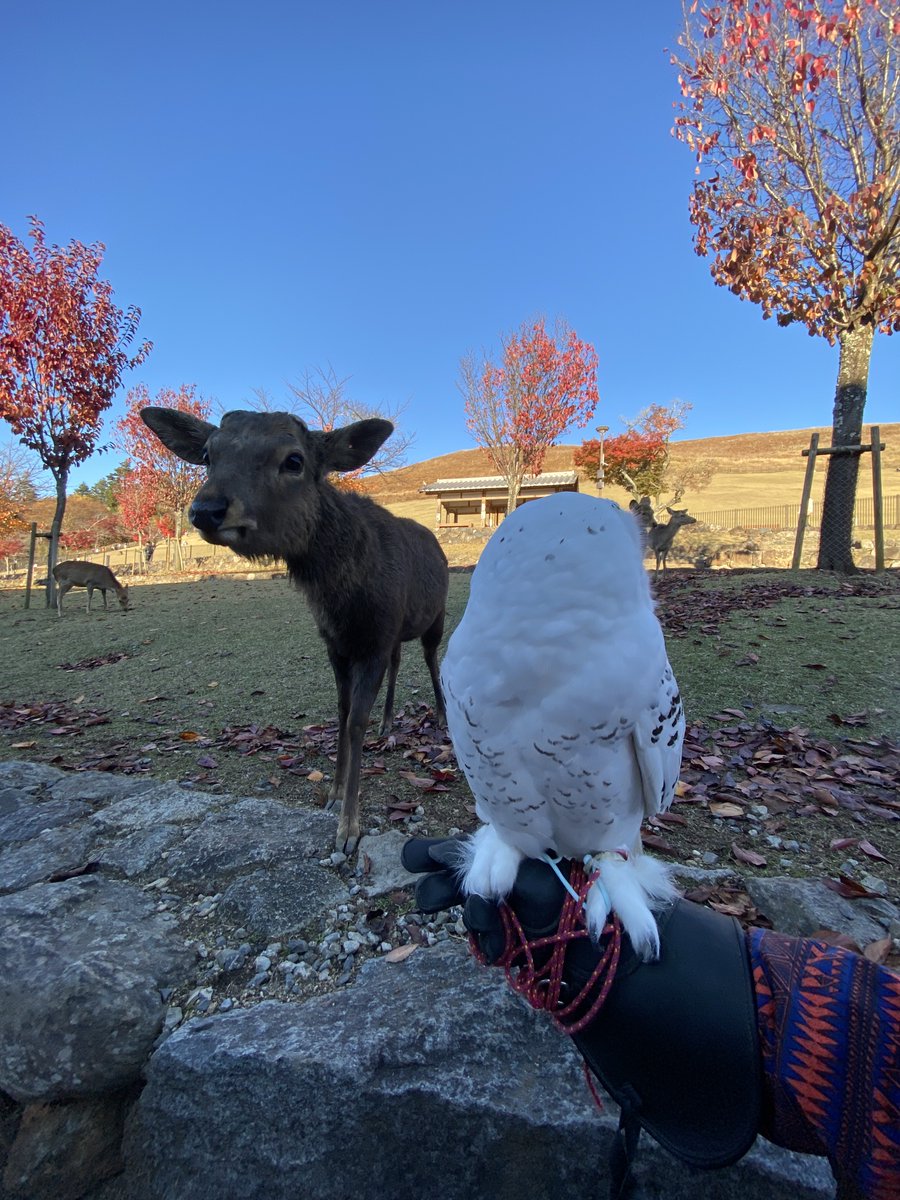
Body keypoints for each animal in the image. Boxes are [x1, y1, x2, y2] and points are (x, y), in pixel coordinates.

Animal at [139, 407, 449, 854]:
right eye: (208, 454)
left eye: (294, 460)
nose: (206, 509)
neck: (343, 601)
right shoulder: (338, 643)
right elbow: (341, 713)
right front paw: (334, 794)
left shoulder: (373, 639)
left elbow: (355, 721)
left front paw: (348, 828)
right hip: (396, 633)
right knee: (399, 661)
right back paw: (388, 723)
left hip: (435, 615)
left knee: (431, 658)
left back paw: (441, 716)